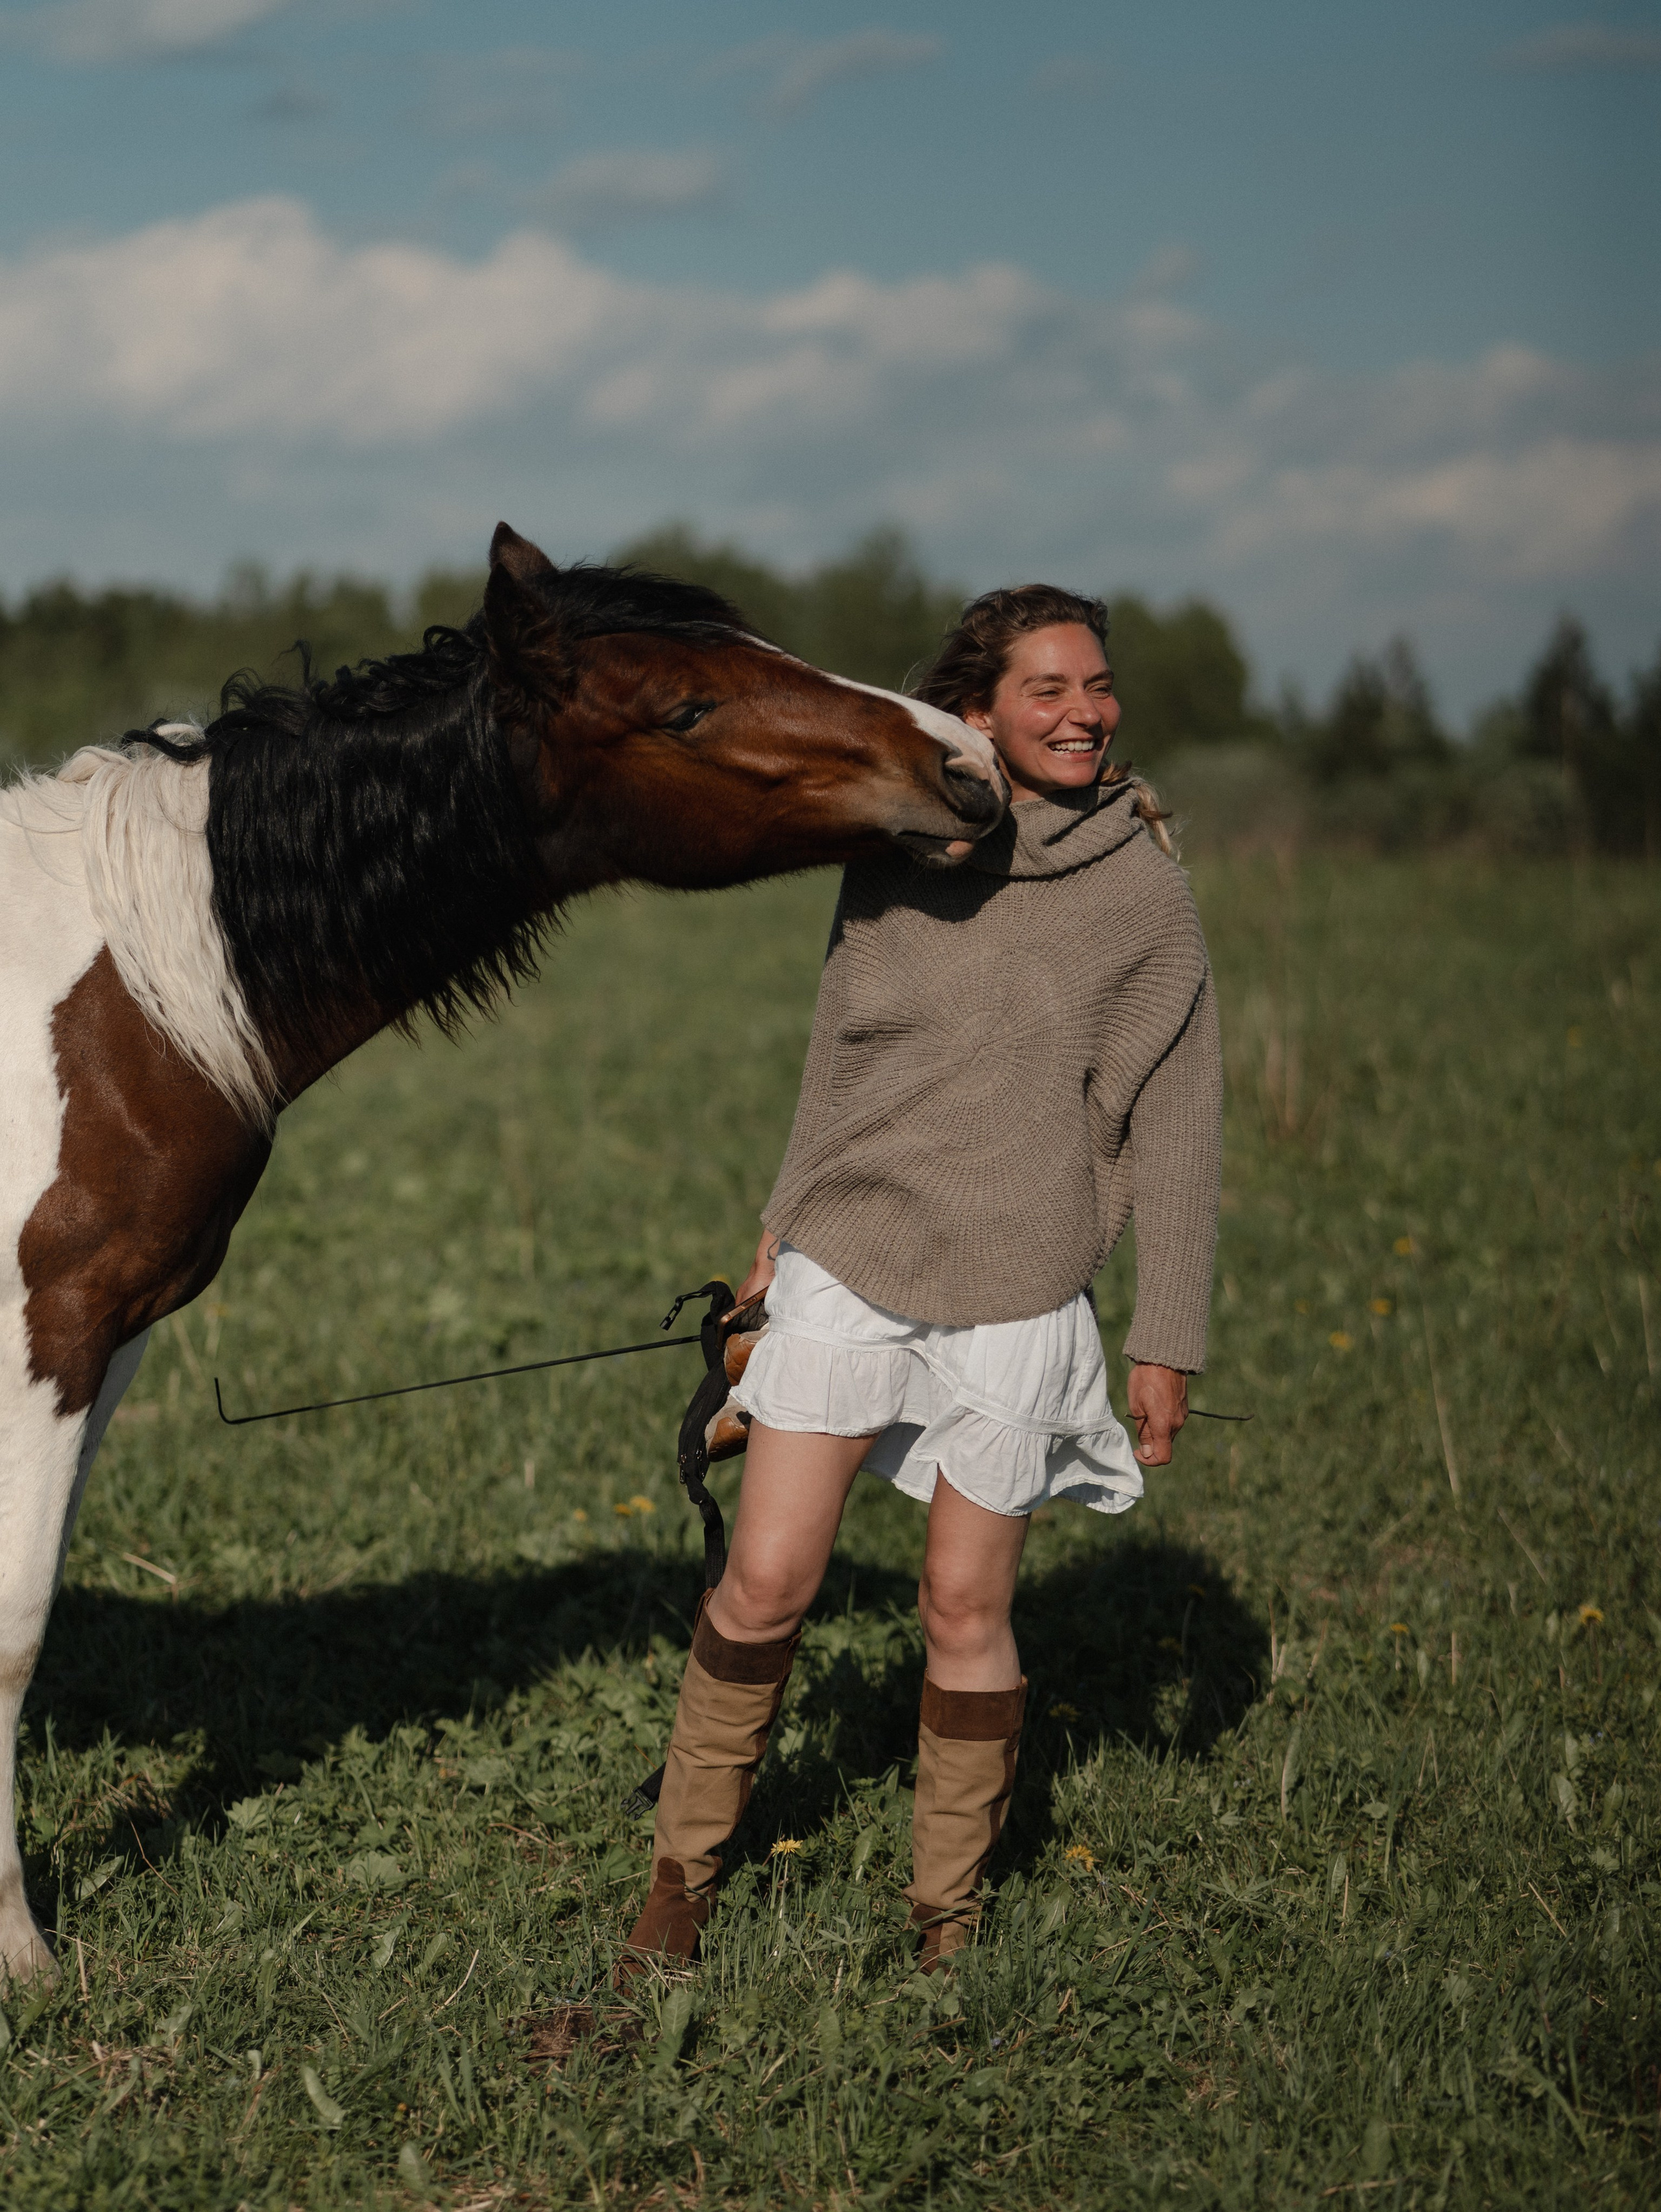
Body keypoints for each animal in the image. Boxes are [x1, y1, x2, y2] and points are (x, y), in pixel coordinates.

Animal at [0, 521, 1002, 1982]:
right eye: (686, 705)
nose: (968, 766)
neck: (113, 992)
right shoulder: (49, 1333)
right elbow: (14, 1630)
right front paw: (20, 1953)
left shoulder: (107, 1345)